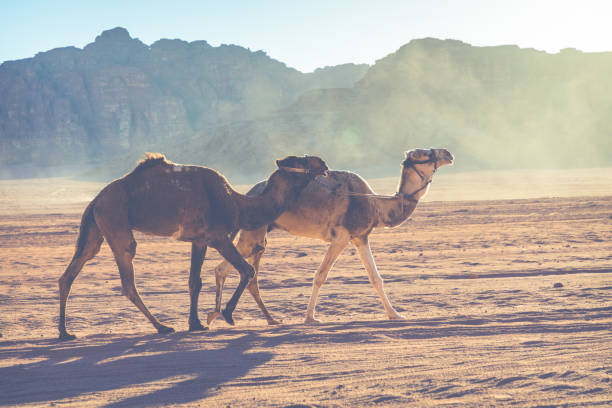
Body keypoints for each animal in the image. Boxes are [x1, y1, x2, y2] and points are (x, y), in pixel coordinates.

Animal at [57, 151, 330, 340]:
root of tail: (95, 200)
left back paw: (64, 332)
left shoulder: (199, 240)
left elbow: (194, 281)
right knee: (127, 280)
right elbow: (247, 270)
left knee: (70, 273)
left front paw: (196, 323)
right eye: (302, 160)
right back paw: (162, 326)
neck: (238, 204)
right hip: (116, 224)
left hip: (95, 230)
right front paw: (226, 315)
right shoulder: (218, 237)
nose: (324, 164)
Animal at [210, 147, 454, 326]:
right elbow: (320, 276)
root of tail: (247, 194)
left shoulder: (360, 237)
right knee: (225, 269)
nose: (448, 154)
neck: (376, 205)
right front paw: (310, 317)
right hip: (253, 234)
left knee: (242, 271)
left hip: (258, 236)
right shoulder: (341, 237)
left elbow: (375, 278)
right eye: (425, 154)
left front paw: (395, 314)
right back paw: (216, 317)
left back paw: (263, 319)